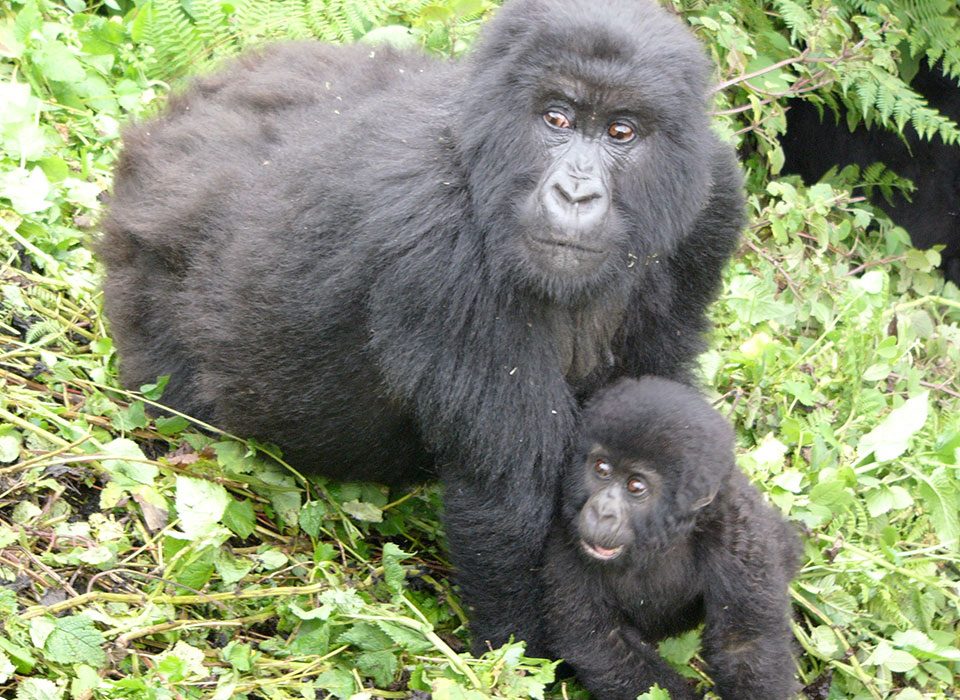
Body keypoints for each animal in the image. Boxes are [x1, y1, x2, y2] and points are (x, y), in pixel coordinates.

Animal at [99, 0, 744, 656]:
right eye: (556, 119)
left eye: (621, 132)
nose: (575, 192)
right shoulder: (437, 234)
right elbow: (509, 505)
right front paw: (530, 661)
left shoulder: (711, 205)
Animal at [544, 380, 800, 696]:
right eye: (601, 469)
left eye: (635, 486)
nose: (603, 513)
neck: (660, 540)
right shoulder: (564, 540)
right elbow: (603, 641)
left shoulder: (739, 534)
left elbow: (745, 642)